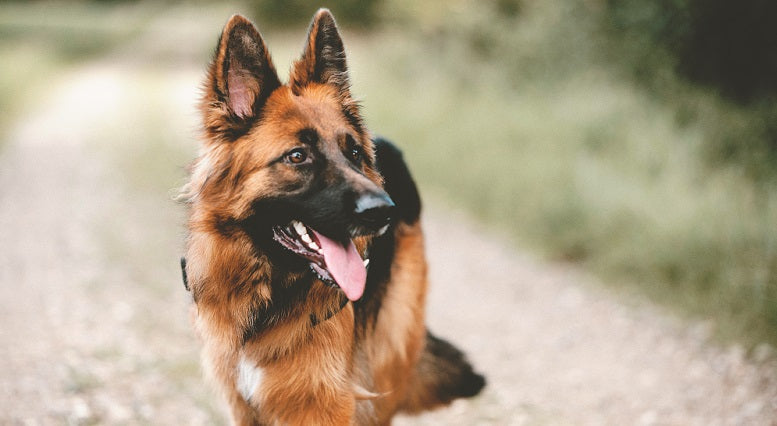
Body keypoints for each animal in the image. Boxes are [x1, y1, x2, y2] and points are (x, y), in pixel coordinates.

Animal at [183, 9, 484, 422]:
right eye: (297, 156)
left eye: (354, 153)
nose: (384, 211)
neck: (269, 300)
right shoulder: (243, 403)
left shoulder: (324, 403)